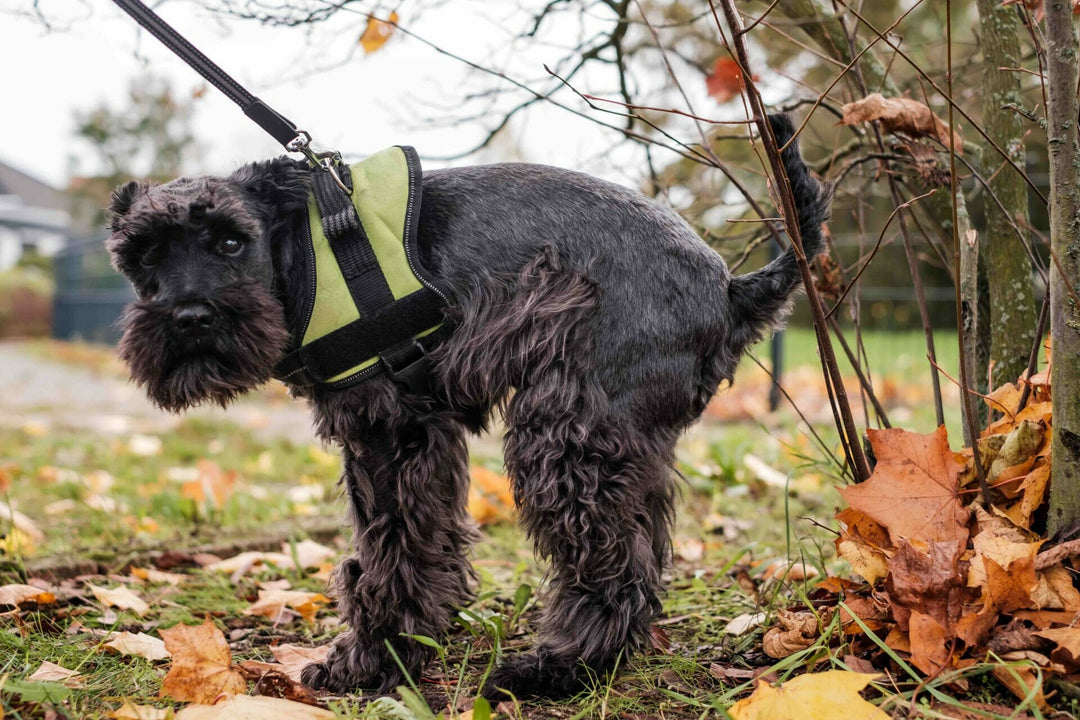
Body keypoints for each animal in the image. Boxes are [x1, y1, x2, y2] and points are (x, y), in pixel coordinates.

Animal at [107, 115, 825, 699]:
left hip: (567, 439)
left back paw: (558, 670)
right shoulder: (422, 433)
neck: (296, 259)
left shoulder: (387, 432)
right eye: (145, 253)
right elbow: (423, 541)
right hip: (627, 444)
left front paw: (372, 660)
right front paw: (420, 634)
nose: (191, 319)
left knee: (612, 564)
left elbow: (389, 550)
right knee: (645, 554)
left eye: (231, 241)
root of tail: (730, 288)